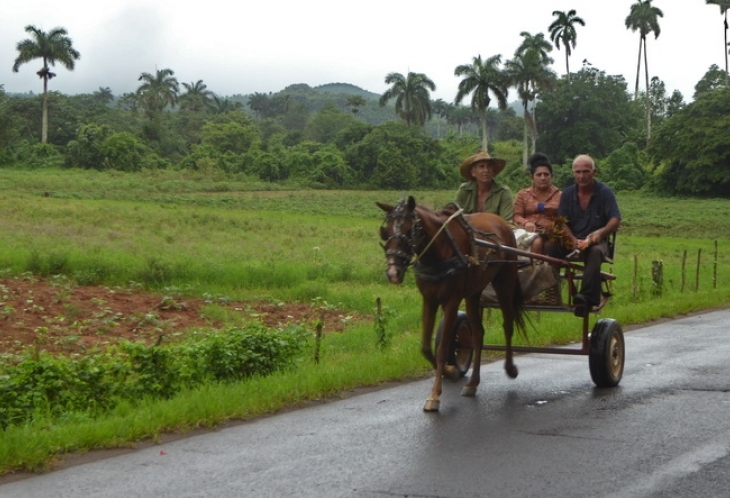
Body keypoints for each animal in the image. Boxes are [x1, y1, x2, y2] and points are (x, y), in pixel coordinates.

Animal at [376, 196, 524, 412]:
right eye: (385, 231)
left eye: (409, 230)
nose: (393, 273)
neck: (440, 250)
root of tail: (501, 221)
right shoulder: (429, 300)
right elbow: (426, 347)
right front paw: (450, 371)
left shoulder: (451, 300)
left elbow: (443, 348)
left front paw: (434, 395)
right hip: (473, 293)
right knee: (478, 334)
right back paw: (473, 383)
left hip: (504, 282)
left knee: (508, 324)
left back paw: (510, 368)